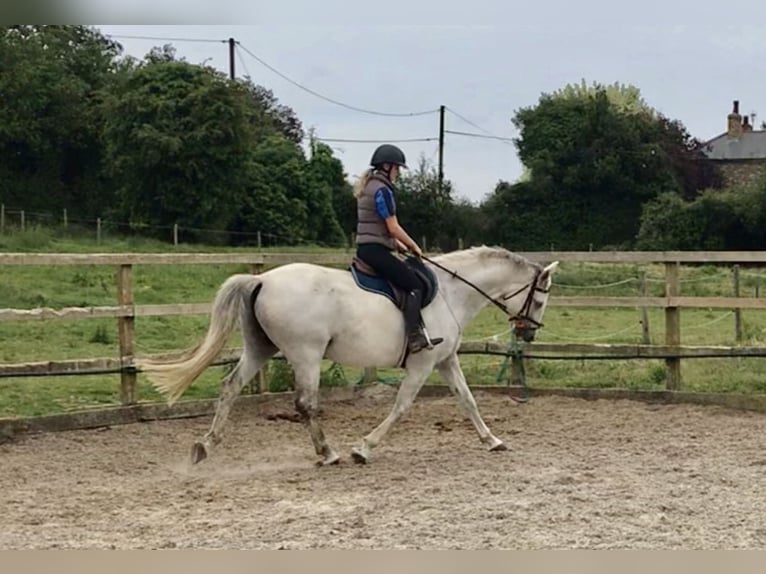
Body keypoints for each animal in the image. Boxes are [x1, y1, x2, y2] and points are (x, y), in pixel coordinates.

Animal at [135, 246, 560, 468]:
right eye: (540, 298)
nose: (529, 333)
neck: (451, 292)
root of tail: (262, 279)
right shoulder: (423, 364)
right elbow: (401, 407)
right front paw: (363, 447)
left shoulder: (445, 360)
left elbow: (468, 401)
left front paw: (493, 441)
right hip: (305, 354)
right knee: (306, 403)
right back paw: (328, 453)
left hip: (261, 348)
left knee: (230, 387)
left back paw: (206, 445)